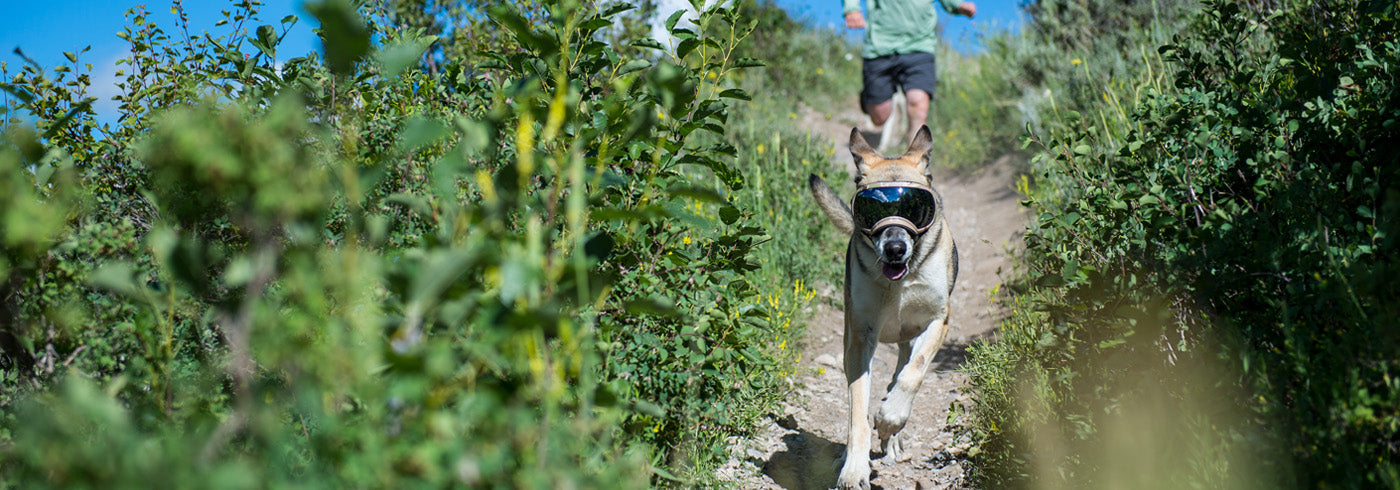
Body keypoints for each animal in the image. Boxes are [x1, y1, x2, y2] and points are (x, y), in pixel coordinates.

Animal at [806, 124, 957, 487]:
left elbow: (913, 373)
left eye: (915, 207)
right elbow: (857, 412)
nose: (894, 249)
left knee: (903, 370)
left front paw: (890, 417)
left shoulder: (938, 320)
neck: (899, 283)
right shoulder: (861, 336)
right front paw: (853, 469)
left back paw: (893, 434)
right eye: (869, 209)